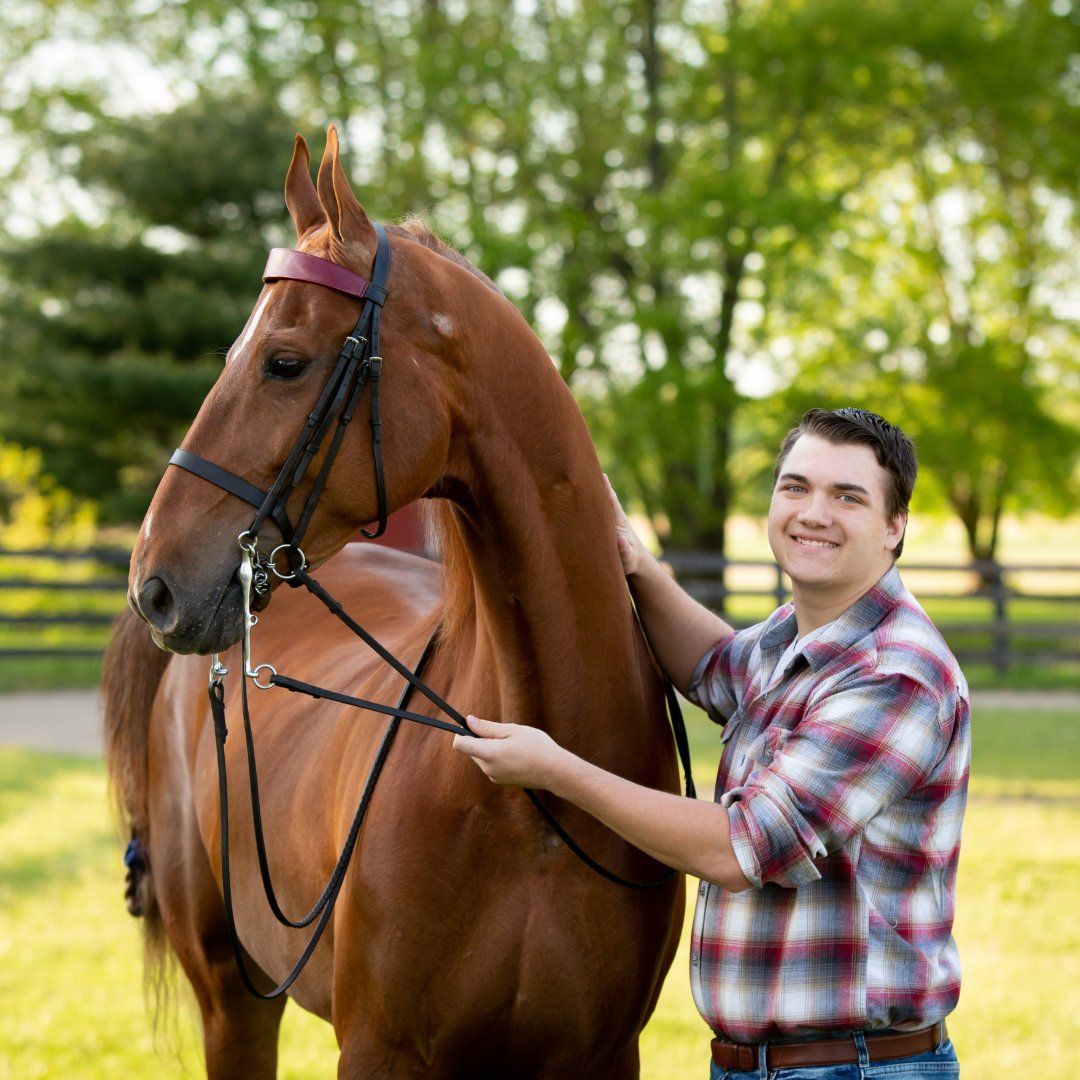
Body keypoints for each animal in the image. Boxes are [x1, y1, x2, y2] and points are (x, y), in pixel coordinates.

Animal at [102, 126, 684, 1079]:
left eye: (284, 362)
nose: (154, 583)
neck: (533, 800)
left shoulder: (603, 1056)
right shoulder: (379, 1051)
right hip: (232, 996)